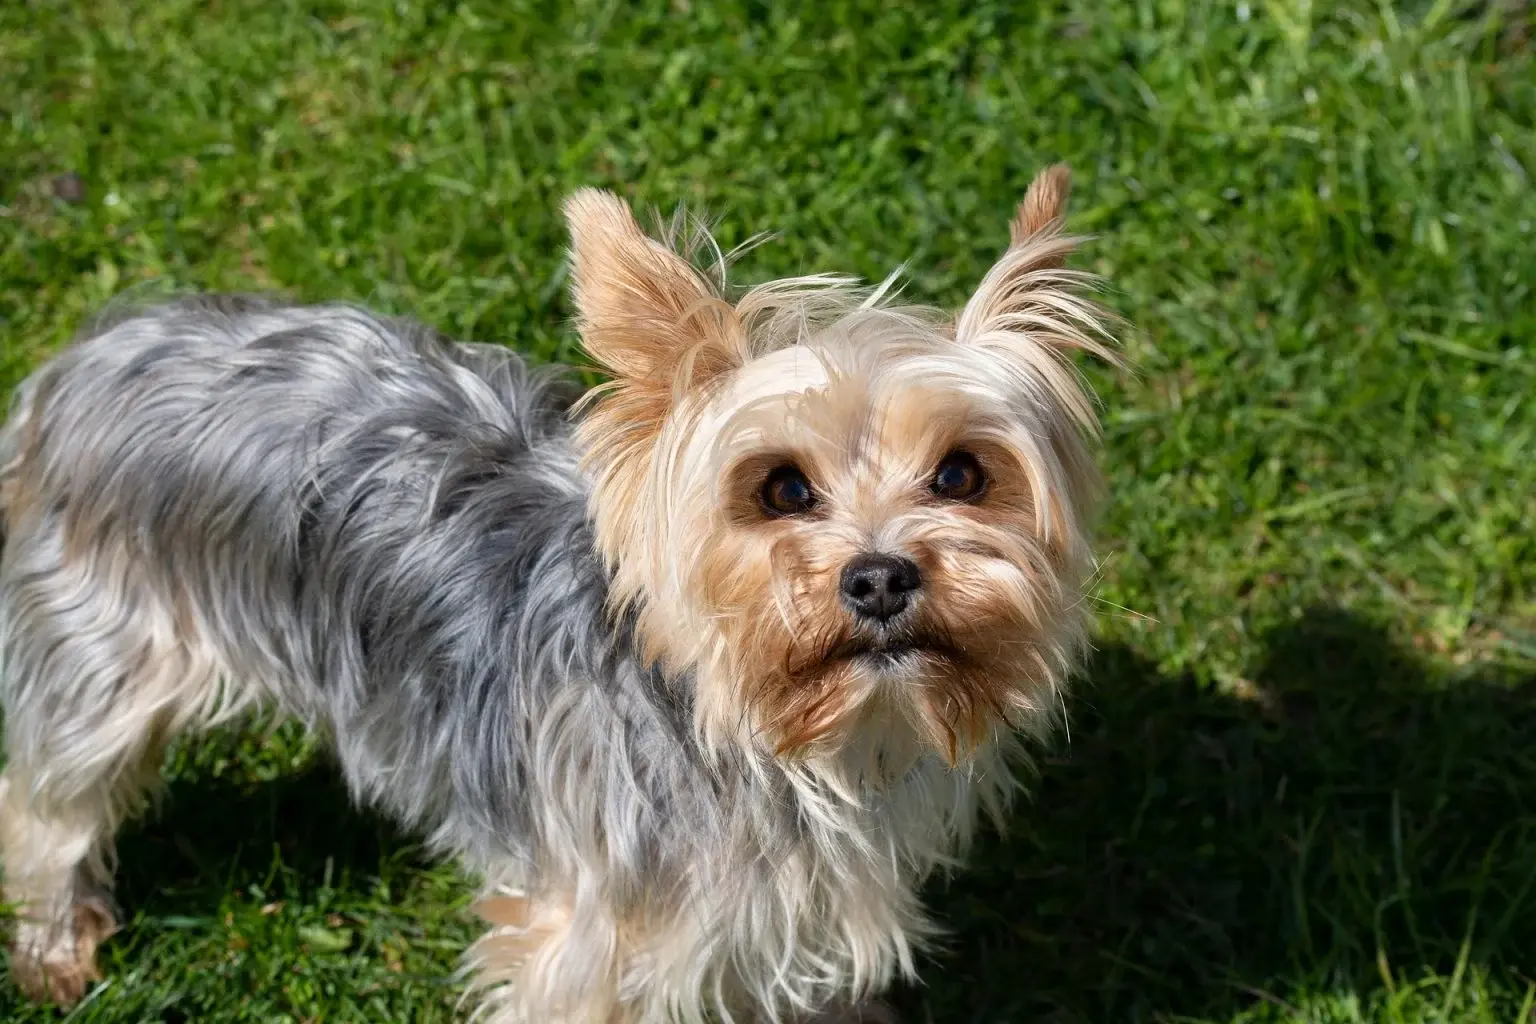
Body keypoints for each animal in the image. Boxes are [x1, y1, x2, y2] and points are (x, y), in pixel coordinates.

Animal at [0, 164, 1118, 1019]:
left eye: (963, 474)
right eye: (781, 489)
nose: (882, 574)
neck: (783, 745)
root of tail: (90, 353)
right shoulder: (593, 940)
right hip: (100, 653)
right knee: (50, 802)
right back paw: (57, 949)